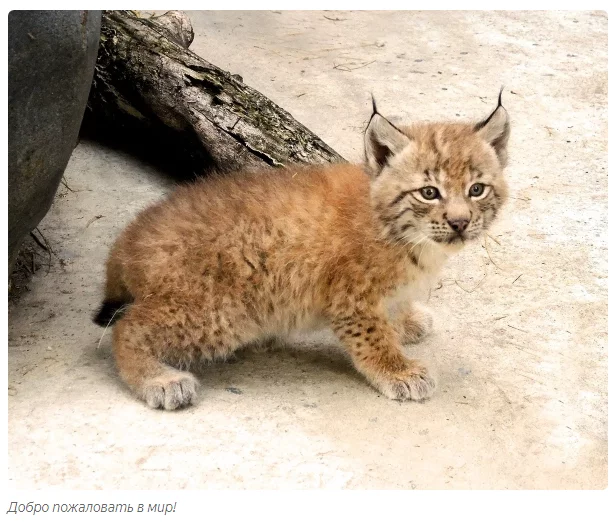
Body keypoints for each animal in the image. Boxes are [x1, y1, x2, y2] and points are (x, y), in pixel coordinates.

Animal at [94, 93, 512, 410]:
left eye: (476, 190)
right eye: (429, 193)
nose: (459, 223)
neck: (406, 236)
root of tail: (128, 238)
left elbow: (393, 311)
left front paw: (406, 320)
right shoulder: (350, 297)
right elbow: (372, 336)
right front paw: (398, 370)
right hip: (222, 313)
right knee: (125, 328)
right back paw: (159, 380)